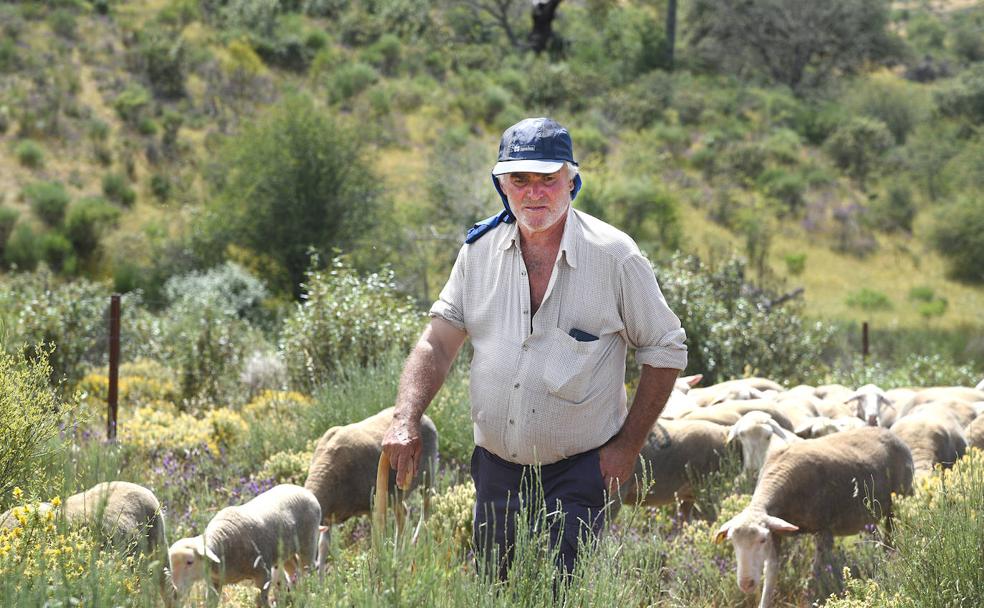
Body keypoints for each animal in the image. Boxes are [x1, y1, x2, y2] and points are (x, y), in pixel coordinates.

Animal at [168, 484, 320, 608]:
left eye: (190, 562)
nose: (174, 591)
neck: (222, 542)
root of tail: (303, 490)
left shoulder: (263, 573)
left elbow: (260, 600)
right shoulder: (214, 581)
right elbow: (210, 603)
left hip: (308, 542)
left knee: (307, 571)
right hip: (285, 551)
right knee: (293, 570)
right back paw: (297, 595)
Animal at [716, 428, 916, 608]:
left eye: (762, 540)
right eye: (732, 542)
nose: (746, 583)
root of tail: (892, 434)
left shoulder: (824, 530)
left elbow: (814, 576)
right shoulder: (776, 532)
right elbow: (771, 573)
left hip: (896, 503)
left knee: (890, 540)